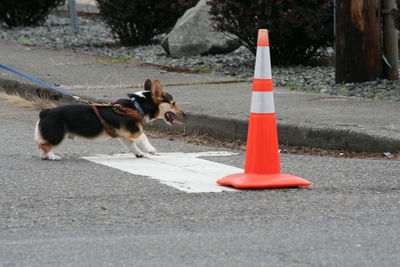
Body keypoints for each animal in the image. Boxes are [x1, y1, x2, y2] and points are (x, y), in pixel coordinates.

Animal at [34, 79, 184, 159]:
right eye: (174, 103)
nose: (184, 114)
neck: (137, 106)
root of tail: (45, 112)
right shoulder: (135, 132)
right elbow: (144, 138)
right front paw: (151, 149)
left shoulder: (124, 136)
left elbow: (132, 146)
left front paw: (140, 154)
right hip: (58, 135)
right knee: (43, 145)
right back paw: (52, 156)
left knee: (41, 144)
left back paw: (46, 156)